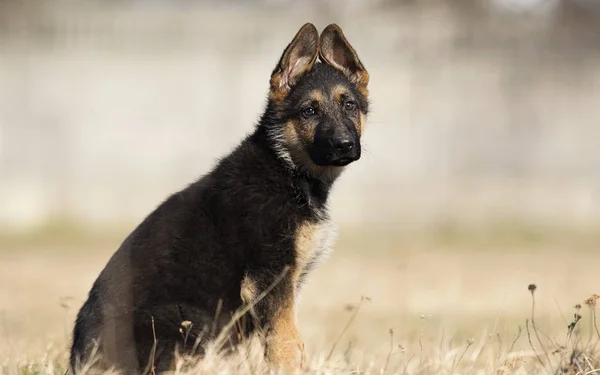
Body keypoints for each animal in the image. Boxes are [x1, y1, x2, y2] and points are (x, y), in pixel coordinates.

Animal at [70, 22, 370, 374]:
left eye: (349, 105)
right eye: (309, 111)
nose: (345, 144)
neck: (286, 167)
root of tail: (79, 361)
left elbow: (282, 340)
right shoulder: (269, 278)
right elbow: (285, 342)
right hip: (190, 320)